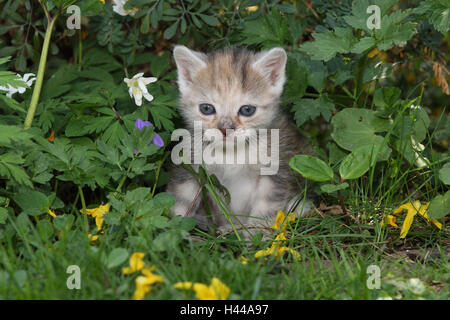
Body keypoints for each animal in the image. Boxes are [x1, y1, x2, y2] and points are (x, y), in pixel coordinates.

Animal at [166, 45, 312, 235]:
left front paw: (258, 235)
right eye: (206, 108)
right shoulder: (190, 163)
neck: (232, 153)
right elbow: (182, 197)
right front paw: (173, 230)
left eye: (247, 110)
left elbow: (266, 205)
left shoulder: (276, 168)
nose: (225, 129)